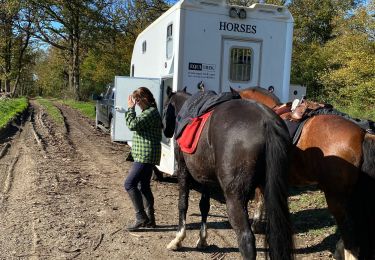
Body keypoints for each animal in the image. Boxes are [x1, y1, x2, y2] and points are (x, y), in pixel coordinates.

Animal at [163, 88, 296, 258]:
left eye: (165, 107)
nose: (165, 130)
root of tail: (267, 122)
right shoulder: (205, 178)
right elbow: (204, 206)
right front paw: (202, 240)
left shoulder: (183, 168)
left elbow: (182, 203)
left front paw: (178, 239)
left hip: (234, 197)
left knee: (246, 238)